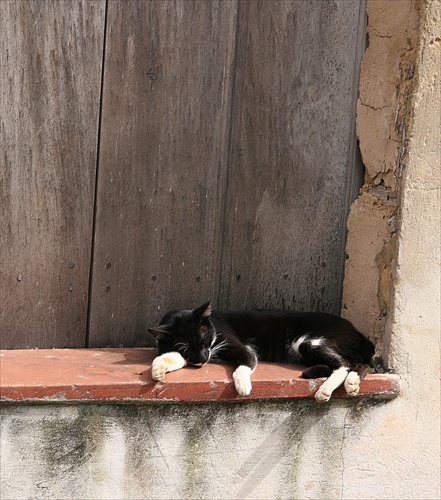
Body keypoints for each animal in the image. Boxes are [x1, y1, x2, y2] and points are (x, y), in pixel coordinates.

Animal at [147, 300, 372, 402]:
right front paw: (159, 366)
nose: (203, 358)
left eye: (204, 338)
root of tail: (358, 332)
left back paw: (330, 388)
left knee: (349, 363)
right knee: (358, 363)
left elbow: (244, 364)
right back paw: (345, 380)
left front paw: (243, 385)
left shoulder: (239, 346)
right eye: (185, 346)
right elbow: (177, 357)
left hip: (307, 342)